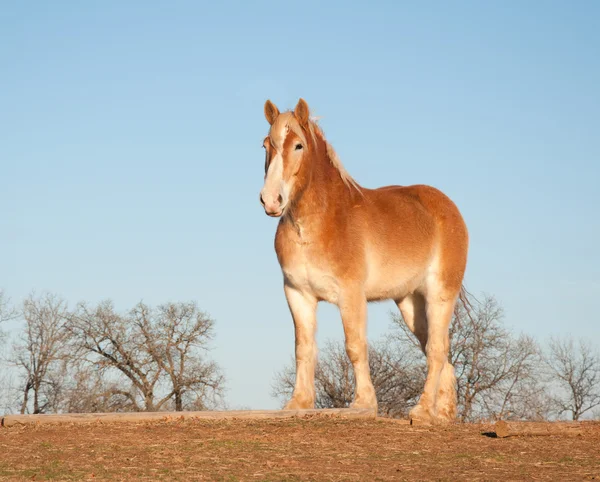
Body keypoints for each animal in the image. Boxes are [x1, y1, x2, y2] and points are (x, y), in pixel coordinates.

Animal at [258, 100, 468, 424]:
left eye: (298, 145)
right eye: (266, 145)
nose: (271, 200)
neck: (321, 222)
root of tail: (448, 208)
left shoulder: (351, 295)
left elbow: (355, 346)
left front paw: (364, 402)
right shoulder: (297, 294)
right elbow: (303, 348)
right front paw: (298, 403)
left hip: (440, 294)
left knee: (436, 349)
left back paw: (421, 411)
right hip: (410, 302)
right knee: (440, 352)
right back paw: (442, 414)